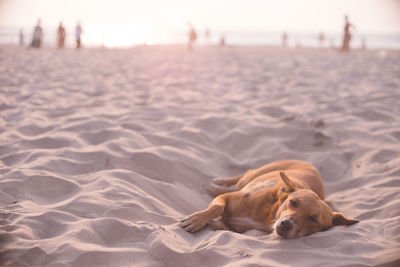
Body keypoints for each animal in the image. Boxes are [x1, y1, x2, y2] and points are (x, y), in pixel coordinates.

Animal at [180, 160, 358, 240]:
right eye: (293, 202)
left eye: (313, 219)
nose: (286, 224)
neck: (268, 214)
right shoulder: (228, 198)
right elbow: (217, 207)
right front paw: (196, 220)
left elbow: (225, 224)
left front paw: (213, 224)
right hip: (253, 175)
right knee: (239, 179)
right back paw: (214, 184)